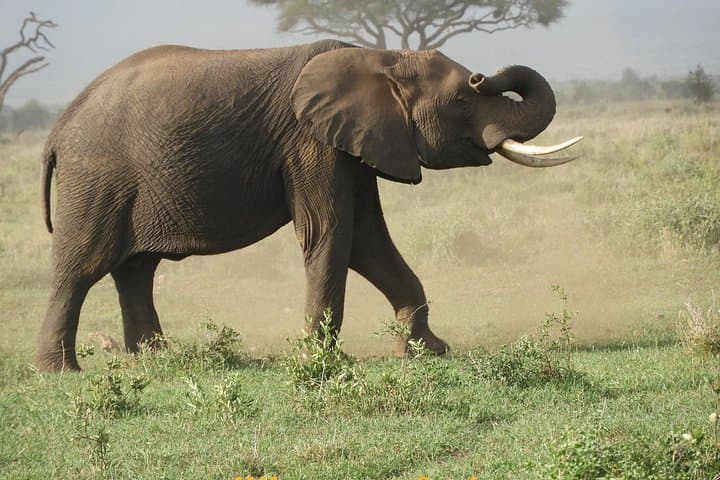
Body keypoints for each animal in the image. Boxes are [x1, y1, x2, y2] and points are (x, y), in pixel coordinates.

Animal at [36, 39, 581, 371]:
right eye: (464, 101)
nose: (482, 75)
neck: (383, 57)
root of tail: (57, 131)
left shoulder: (355, 144)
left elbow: (367, 242)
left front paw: (428, 353)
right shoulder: (310, 142)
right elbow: (331, 234)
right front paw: (319, 363)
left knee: (135, 270)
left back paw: (155, 362)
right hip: (95, 178)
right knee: (80, 268)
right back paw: (60, 372)